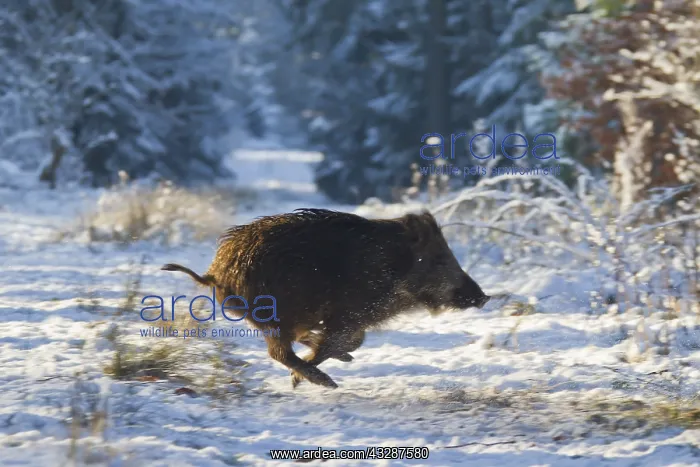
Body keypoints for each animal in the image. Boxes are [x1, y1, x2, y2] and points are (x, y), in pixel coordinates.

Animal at [161, 208, 489, 389]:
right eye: (439, 259)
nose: (484, 297)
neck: (391, 269)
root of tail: (213, 272)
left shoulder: (350, 319)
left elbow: (351, 342)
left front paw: (343, 357)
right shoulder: (348, 314)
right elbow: (340, 342)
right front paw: (303, 378)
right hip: (276, 314)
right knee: (278, 353)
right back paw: (325, 383)